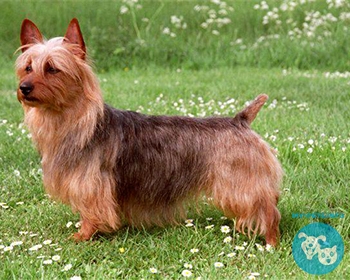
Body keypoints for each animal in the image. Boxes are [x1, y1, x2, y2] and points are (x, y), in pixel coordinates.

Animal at [16, 18, 284, 245]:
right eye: (28, 68)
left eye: (52, 69)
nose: (23, 88)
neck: (76, 121)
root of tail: (240, 120)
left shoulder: (91, 186)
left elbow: (90, 214)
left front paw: (82, 236)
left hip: (242, 186)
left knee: (268, 210)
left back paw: (271, 243)